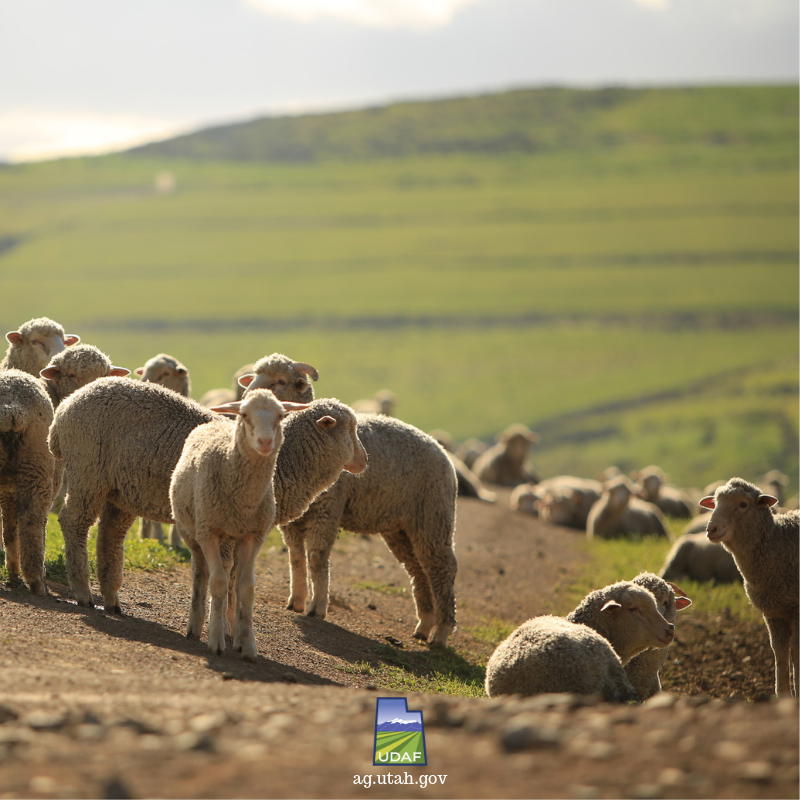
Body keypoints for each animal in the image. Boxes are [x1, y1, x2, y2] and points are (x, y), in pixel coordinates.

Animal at [0, 370, 56, 595]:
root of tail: (10, 407)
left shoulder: (7, 490)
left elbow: (9, 527)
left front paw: (13, 568)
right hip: (37, 461)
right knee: (31, 519)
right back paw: (36, 581)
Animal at [48, 377, 366, 614]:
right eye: (350, 428)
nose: (365, 460)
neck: (286, 460)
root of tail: (64, 408)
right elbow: (226, 573)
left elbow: (236, 576)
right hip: (88, 471)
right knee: (74, 522)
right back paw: (83, 591)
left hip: (121, 490)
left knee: (110, 536)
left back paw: (112, 599)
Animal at [170, 390, 352, 660]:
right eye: (245, 415)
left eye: (281, 415)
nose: (265, 441)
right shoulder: (209, 531)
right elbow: (219, 582)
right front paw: (216, 639)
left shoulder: (254, 536)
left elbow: (246, 586)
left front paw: (247, 645)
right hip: (192, 531)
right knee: (202, 572)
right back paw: (196, 625)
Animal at [280, 412, 458, 646]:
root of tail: (446, 455)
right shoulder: (292, 519)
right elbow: (296, 557)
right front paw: (296, 601)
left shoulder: (328, 507)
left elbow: (317, 557)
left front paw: (317, 607)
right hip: (401, 529)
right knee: (419, 571)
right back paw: (424, 626)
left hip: (433, 516)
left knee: (442, 568)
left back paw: (441, 633)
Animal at [701, 477, 799, 696]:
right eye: (715, 503)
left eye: (743, 504)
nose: (711, 529)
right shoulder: (773, 612)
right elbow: (780, 652)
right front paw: (783, 695)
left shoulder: (797, 609)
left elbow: (796, 651)